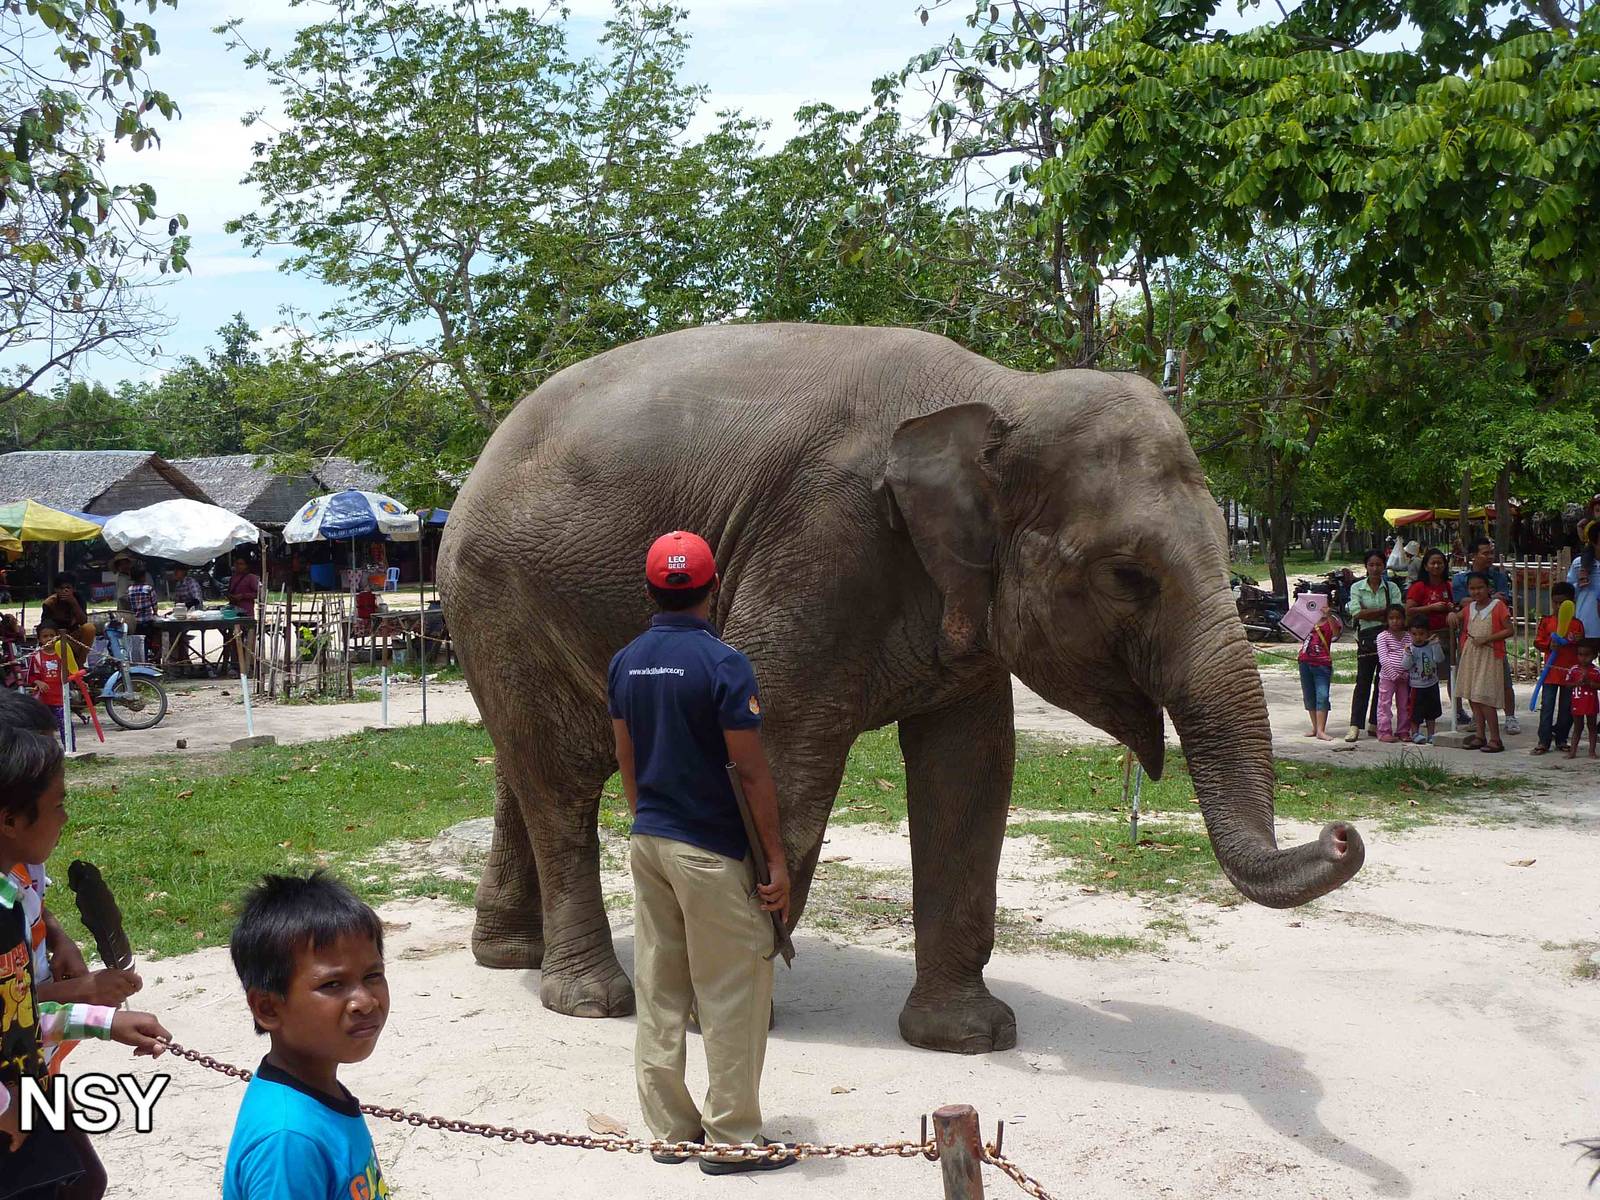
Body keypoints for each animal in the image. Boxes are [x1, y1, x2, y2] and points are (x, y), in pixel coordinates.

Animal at [437, 322, 1365, 1054]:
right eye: (1128, 576)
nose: (1343, 833)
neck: (1002, 390)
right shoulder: (820, 542)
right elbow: (778, 764)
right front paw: (730, 1015)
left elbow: (972, 771)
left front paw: (967, 1038)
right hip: (496, 595)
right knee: (560, 779)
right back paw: (591, 1000)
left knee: (532, 769)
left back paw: (510, 958)